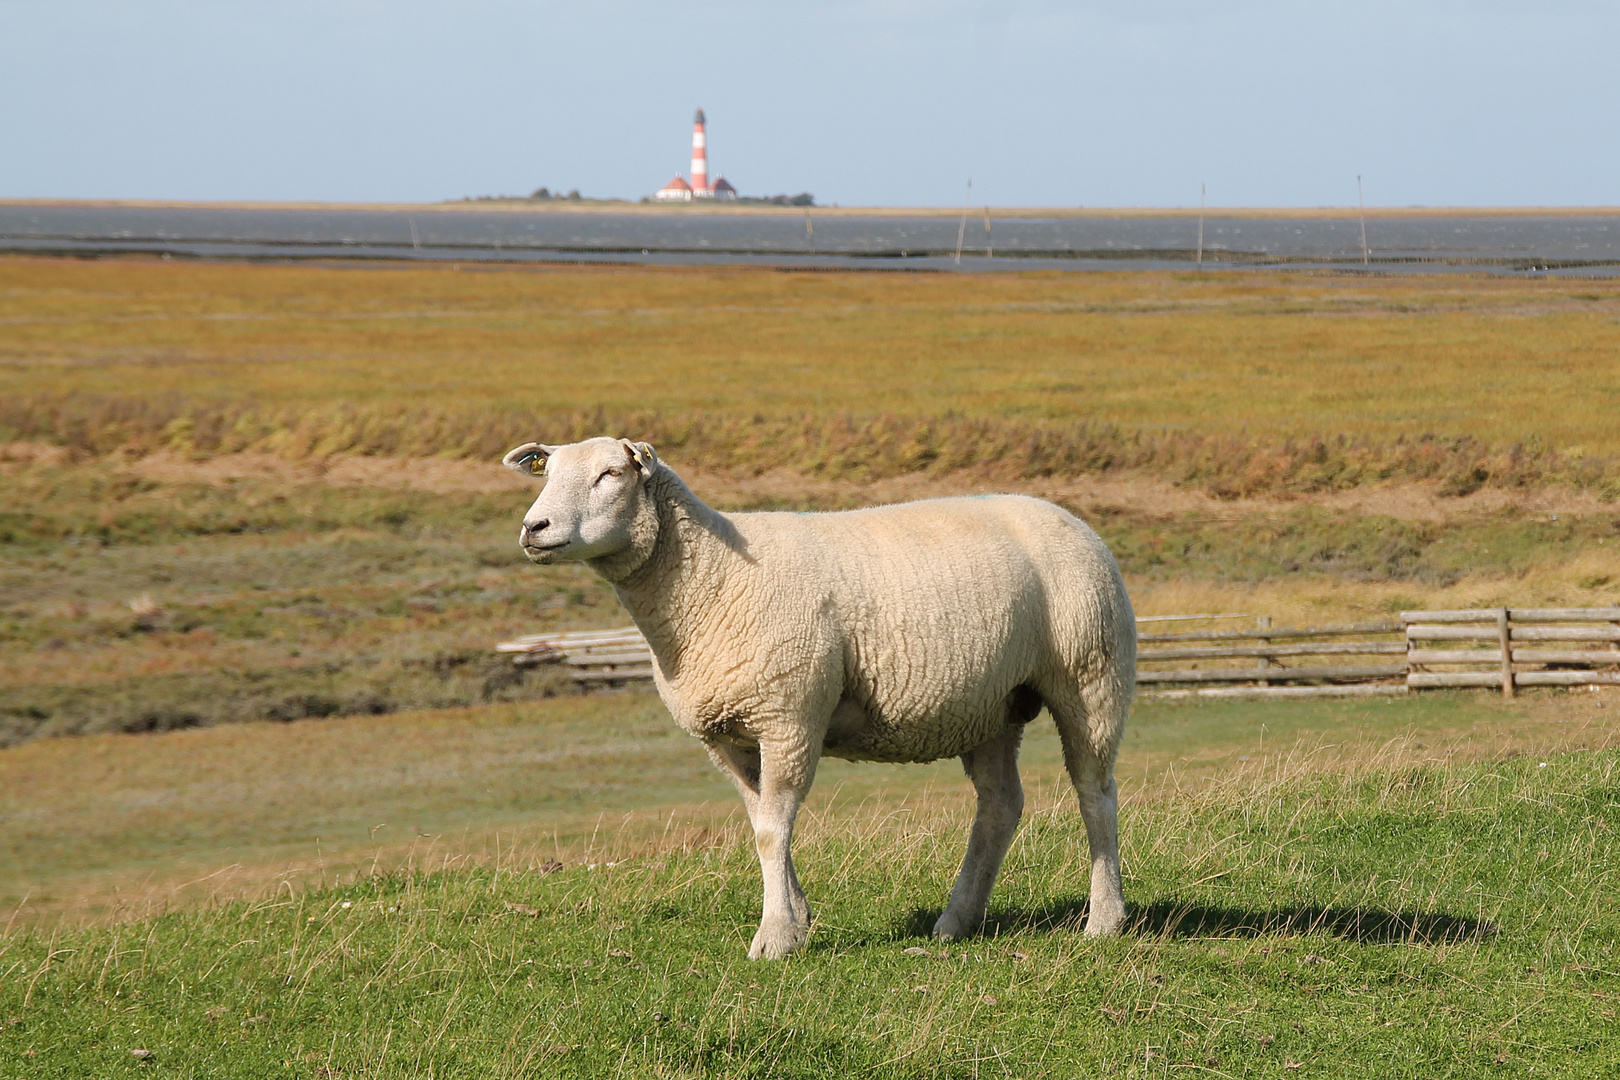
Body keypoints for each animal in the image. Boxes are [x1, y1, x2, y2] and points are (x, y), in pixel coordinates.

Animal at [498, 433, 1134, 958]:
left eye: (610, 473)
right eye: (547, 473)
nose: (533, 528)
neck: (710, 578)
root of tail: (1071, 518)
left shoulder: (790, 714)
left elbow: (773, 827)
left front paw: (775, 938)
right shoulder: (726, 734)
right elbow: (760, 823)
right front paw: (796, 918)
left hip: (1090, 672)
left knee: (1095, 792)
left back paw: (1104, 920)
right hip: (992, 705)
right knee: (1000, 805)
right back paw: (958, 920)